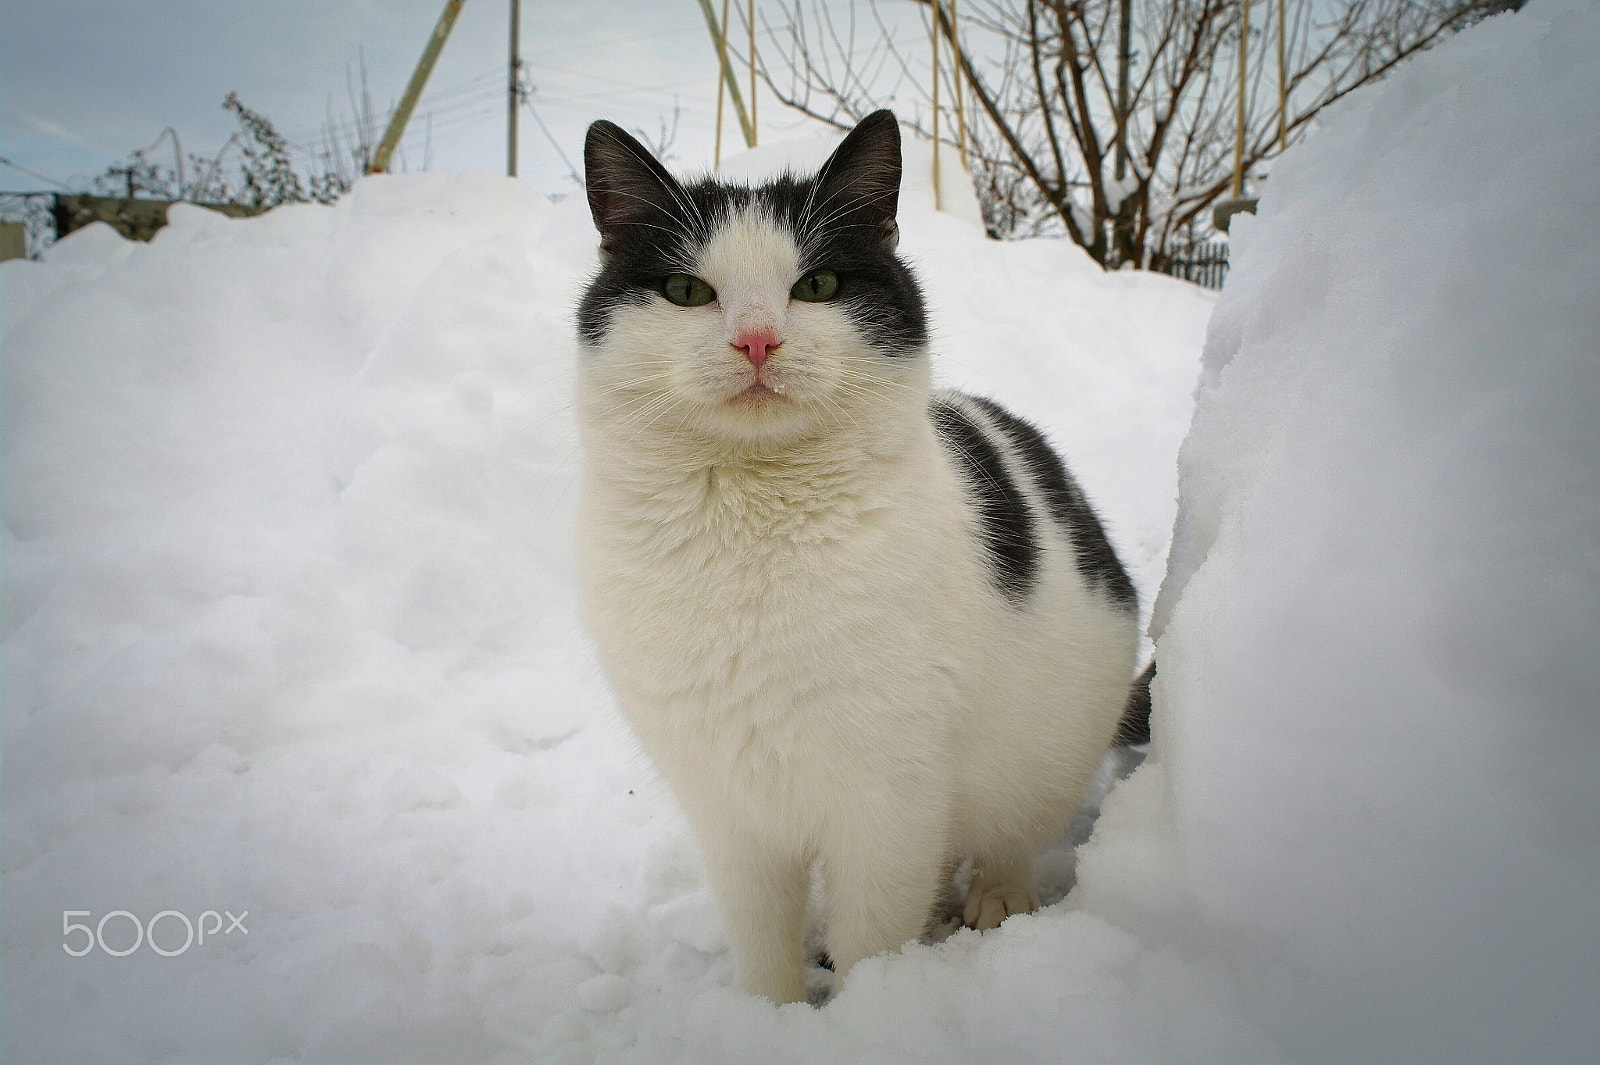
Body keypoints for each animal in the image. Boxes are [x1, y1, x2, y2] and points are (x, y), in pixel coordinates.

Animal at [569, 111, 1145, 997]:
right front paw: (769, 1013)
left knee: (1010, 837)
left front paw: (868, 1006)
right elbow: (761, 937)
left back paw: (997, 900)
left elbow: (876, 935)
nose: (757, 340)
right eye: (687, 292)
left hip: (1054, 737)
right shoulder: (730, 808)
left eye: (819, 286)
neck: (751, 525)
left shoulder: (890, 801)